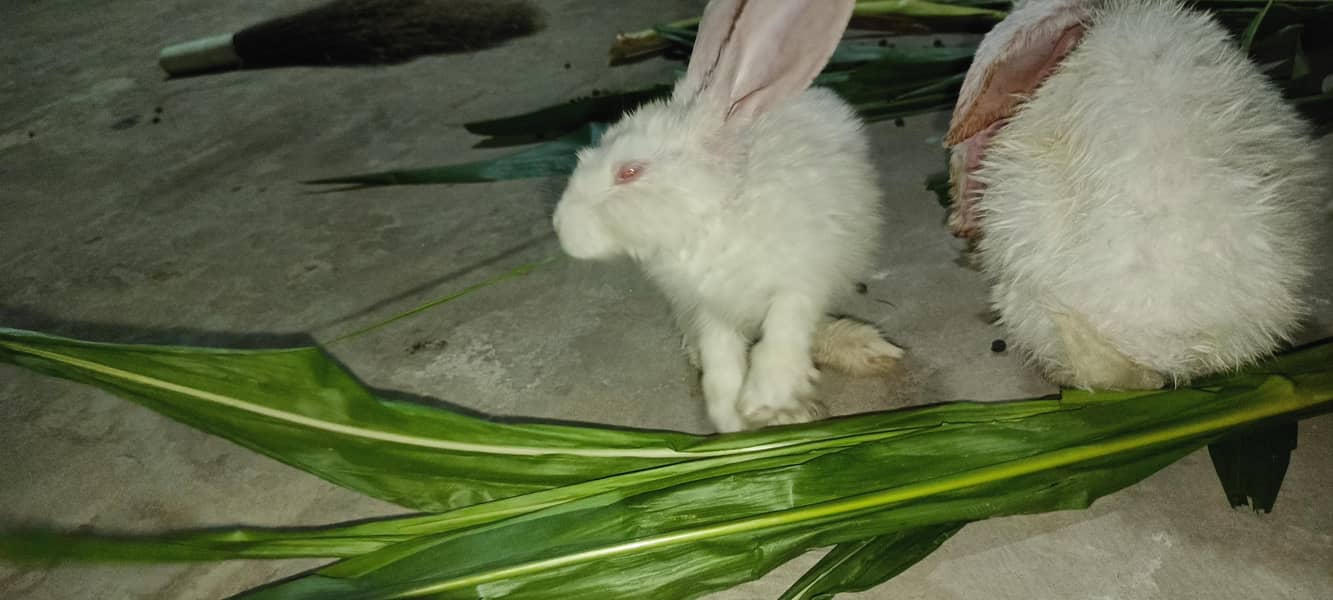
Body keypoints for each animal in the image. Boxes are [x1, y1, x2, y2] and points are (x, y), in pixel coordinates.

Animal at [552, 0, 904, 432]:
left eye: (629, 172)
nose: (560, 227)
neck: (714, 212)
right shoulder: (709, 308)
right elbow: (721, 367)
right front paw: (734, 424)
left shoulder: (800, 279)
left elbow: (784, 332)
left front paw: (767, 404)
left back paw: (864, 351)